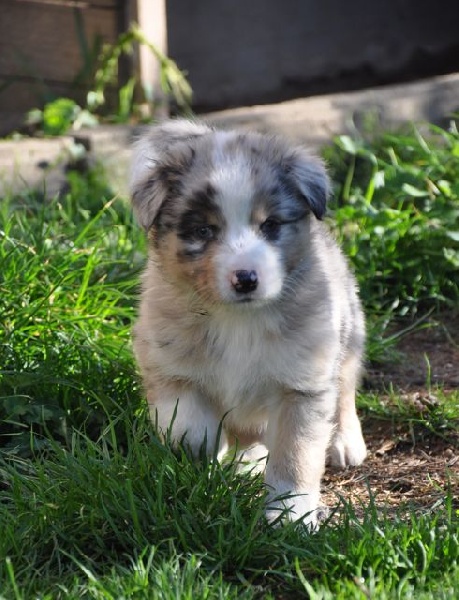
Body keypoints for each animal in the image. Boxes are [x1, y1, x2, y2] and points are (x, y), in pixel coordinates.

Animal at [129, 120, 366, 524]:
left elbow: (296, 456)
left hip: (349, 333)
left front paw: (290, 514)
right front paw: (203, 447)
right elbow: (185, 423)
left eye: (270, 225)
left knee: (346, 388)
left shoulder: (302, 384)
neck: (237, 319)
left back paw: (345, 442)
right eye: (204, 231)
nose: (245, 279)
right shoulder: (165, 361)